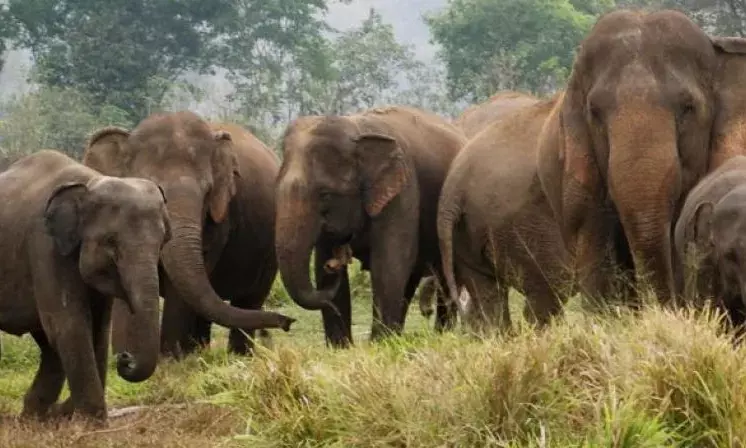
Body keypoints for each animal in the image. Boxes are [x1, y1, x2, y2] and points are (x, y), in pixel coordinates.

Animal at [0, 149, 170, 423]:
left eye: (163, 241)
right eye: (111, 242)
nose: (125, 358)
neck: (90, 182)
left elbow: (97, 328)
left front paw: (72, 415)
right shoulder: (44, 246)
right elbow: (70, 324)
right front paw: (92, 420)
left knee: (47, 343)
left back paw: (34, 417)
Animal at [82, 111, 294, 359]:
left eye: (208, 191)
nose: (288, 322)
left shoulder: (219, 220)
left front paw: (169, 360)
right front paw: (125, 358)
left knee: (248, 299)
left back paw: (237, 356)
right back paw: (200, 352)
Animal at [275, 105, 467, 347]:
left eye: (325, 194)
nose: (335, 263)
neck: (356, 129)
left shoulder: (402, 192)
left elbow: (388, 264)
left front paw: (379, 345)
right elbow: (323, 267)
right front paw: (341, 349)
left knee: (445, 276)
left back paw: (441, 335)